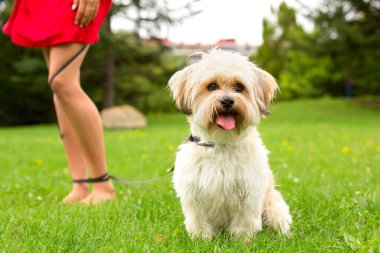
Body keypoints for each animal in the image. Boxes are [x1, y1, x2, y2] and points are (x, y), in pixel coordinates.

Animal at [168, 49, 292, 239]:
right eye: (212, 86)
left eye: (239, 87)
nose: (227, 101)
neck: (221, 143)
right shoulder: (195, 195)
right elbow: (200, 222)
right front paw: (201, 239)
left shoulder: (248, 194)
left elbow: (243, 222)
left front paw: (242, 239)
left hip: (273, 206)